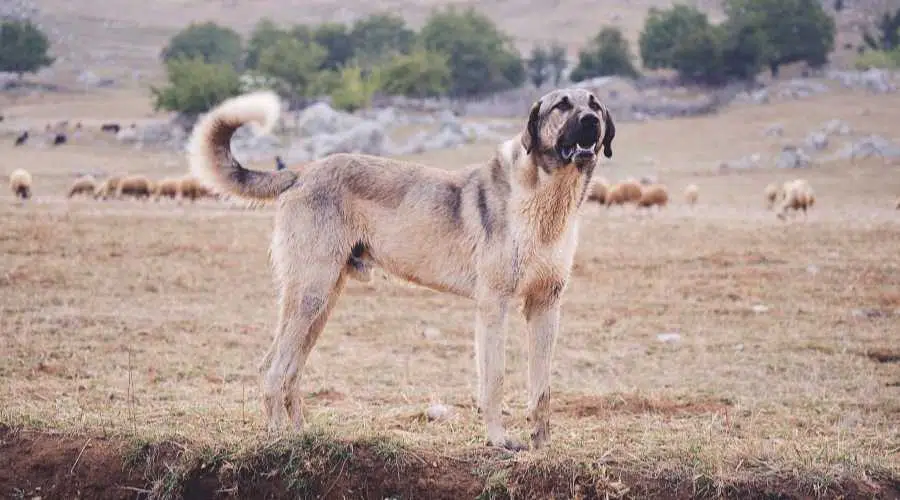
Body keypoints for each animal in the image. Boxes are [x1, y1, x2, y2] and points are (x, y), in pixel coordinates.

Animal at [186, 88, 616, 452]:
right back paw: (279, 439)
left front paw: (542, 446)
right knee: (272, 370)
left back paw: (300, 436)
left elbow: (542, 388)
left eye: (595, 104)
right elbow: (493, 381)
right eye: (562, 105)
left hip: (323, 302)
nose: (591, 122)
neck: (547, 201)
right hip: (310, 295)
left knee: (290, 371)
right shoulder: (494, 306)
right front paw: (499, 441)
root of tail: (303, 171)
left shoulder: (545, 306)